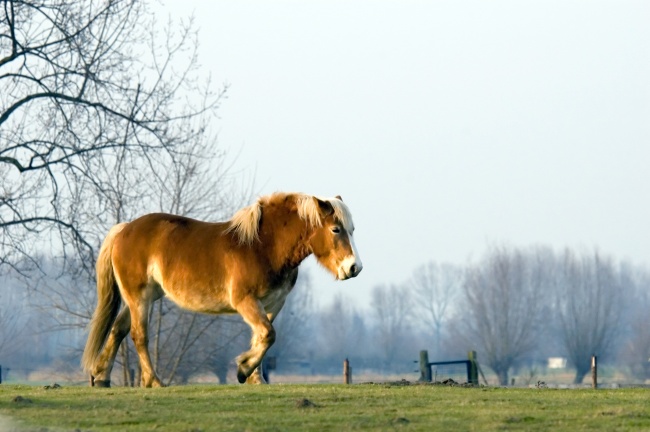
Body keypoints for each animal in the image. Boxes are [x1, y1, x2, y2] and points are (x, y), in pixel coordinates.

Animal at [82, 192, 360, 384]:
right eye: (335, 229)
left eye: (352, 229)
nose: (354, 267)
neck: (264, 246)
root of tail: (124, 229)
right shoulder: (245, 301)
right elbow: (268, 335)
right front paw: (243, 368)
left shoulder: (272, 304)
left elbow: (262, 337)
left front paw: (254, 378)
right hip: (139, 296)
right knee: (139, 336)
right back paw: (154, 381)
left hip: (145, 297)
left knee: (118, 329)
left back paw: (102, 377)